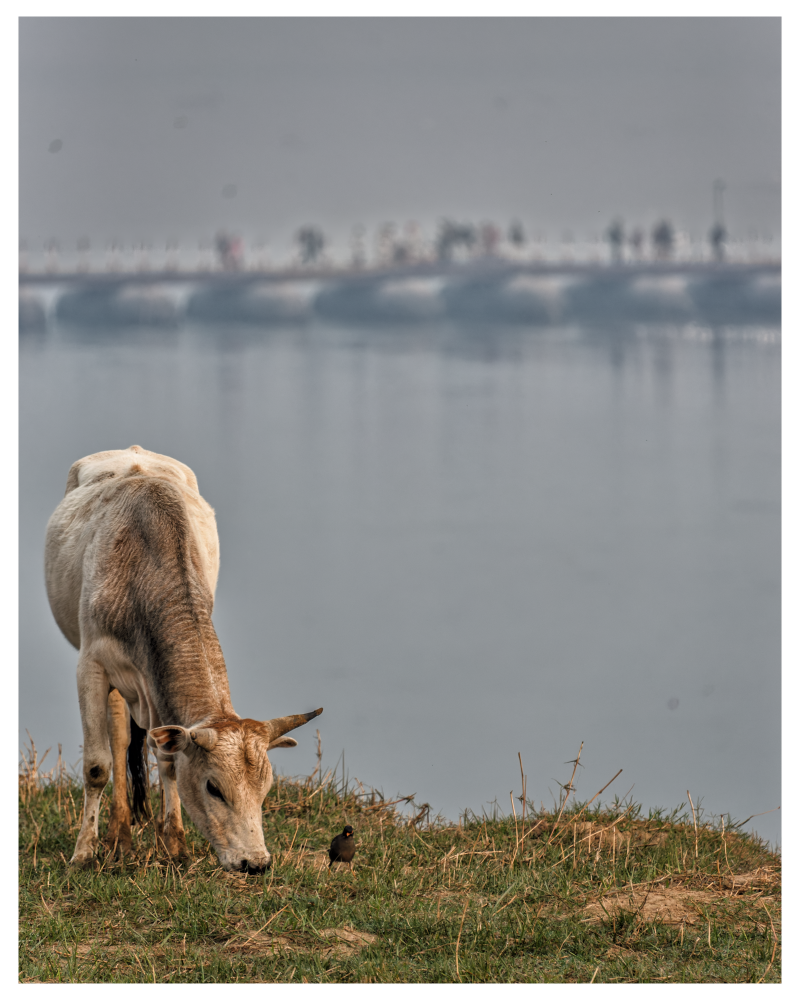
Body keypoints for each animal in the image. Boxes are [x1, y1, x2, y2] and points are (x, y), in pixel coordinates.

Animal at [44, 445, 322, 873]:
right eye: (214, 787)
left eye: (266, 789)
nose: (255, 862)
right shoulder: (90, 666)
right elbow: (97, 766)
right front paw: (83, 853)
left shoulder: (159, 687)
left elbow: (169, 759)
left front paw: (174, 845)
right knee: (118, 737)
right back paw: (118, 835)